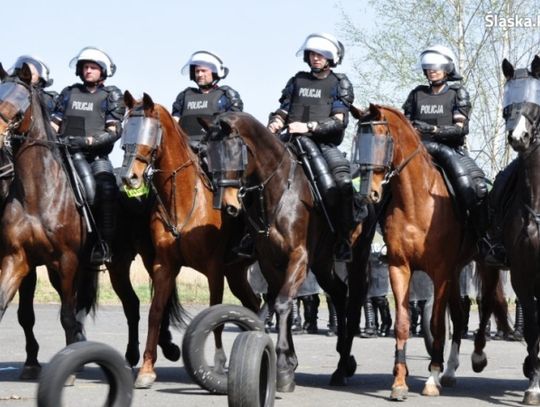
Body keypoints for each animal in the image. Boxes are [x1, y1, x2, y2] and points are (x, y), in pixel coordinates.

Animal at [0, 63, 98, 380]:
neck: (37, 195)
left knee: (75, 307)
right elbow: (15, 311)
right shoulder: (17, 259)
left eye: (19, 109)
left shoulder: (67, 261)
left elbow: (67, 314)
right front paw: (31, 363)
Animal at [118, 91, 262, 390]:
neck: (184, 199)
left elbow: (216, 315)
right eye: (126, 128)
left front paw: (218, 363)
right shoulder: (164, 266)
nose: (129, 176)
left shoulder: (214, 269)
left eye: (149, 131)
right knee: (254, 304)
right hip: (236, 272)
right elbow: (155, 313)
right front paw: (146, 370)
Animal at [199, 111, 376, 392]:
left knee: (353, 300)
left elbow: (283, 303)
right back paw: (343, 361)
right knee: (339, 293)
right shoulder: (269, 261)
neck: (280, 190)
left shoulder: (298, 257)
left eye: (233, 152)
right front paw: (289, 363)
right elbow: (279, 302)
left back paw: (342, 366)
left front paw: (283, 365)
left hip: (355, 260)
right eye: (206, 154)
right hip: (322, 264)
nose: (226, 205)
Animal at [356, 103, 504, 400]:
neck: (416, 200)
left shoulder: (440, 272)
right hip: (456, 270)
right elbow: (402, 323)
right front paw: (399, 383)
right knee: (459, 315)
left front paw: (431, 380)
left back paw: (476, 358)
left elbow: (436, 323)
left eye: (382, 141)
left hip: (484, 265)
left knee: (484, 307)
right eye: (358, 141)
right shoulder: (400, 268)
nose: (369, 193)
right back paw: (450, 370)